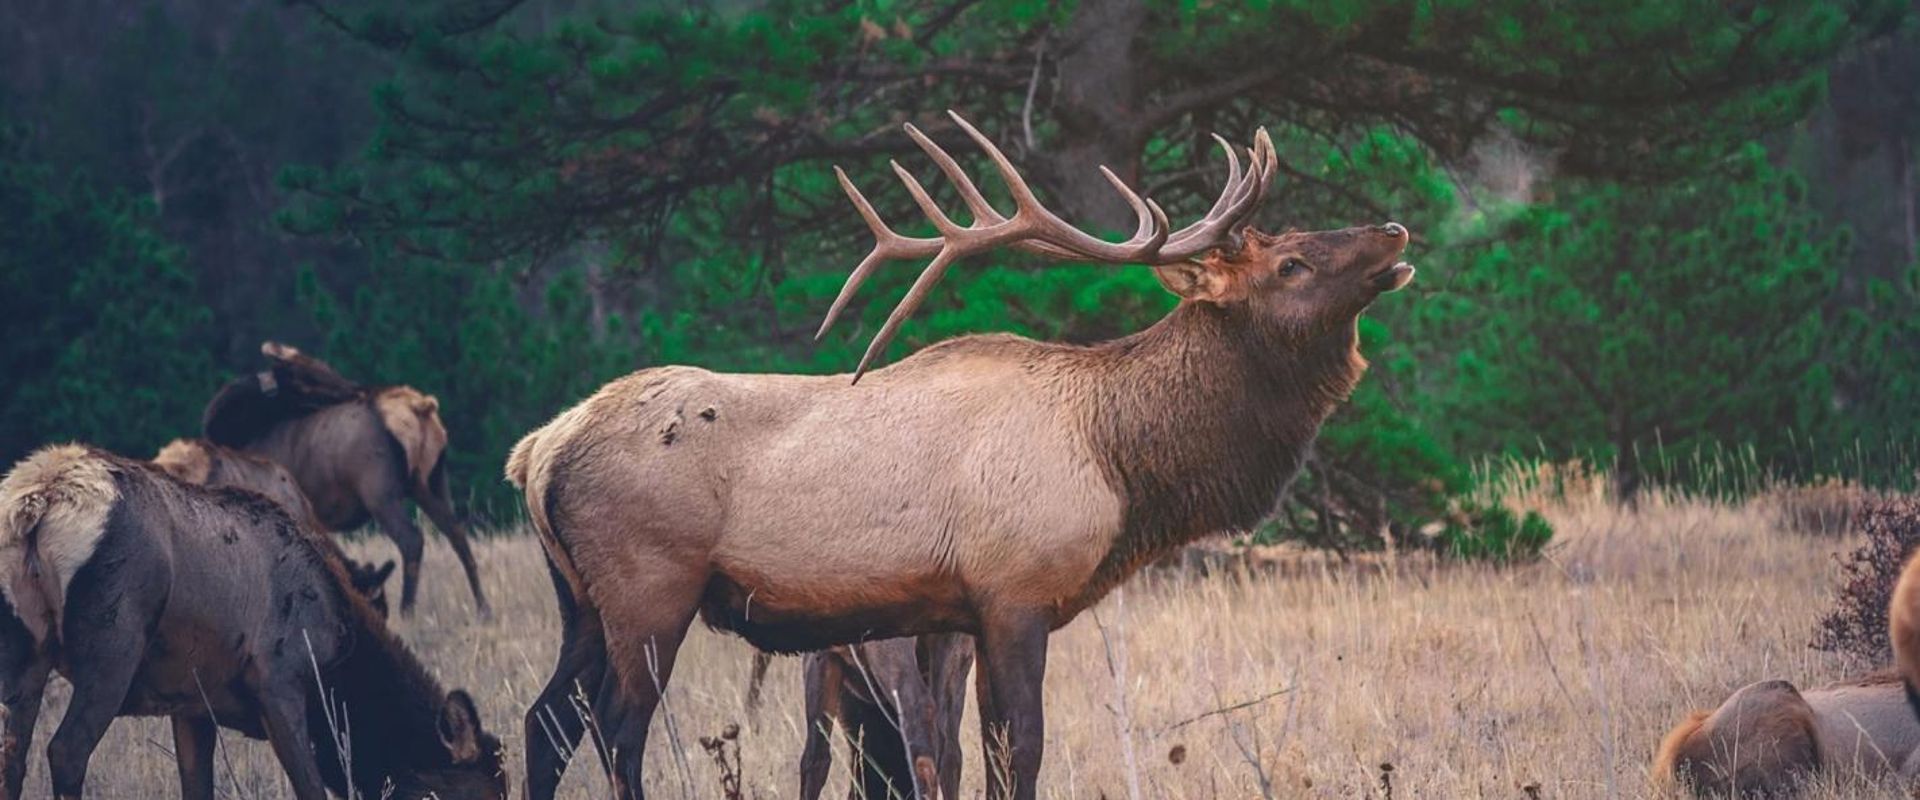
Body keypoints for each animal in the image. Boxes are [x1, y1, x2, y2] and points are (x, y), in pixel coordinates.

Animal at [506, 111, 1415, 800]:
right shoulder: (1014, 591)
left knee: (545, 721)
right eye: (1292, 262)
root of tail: (538, 451)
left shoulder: (960, 615)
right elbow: (1019, 754)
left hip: (579, 598)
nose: (1394, 226)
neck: (1119, 460)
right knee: (615, 730)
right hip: (651, 585)